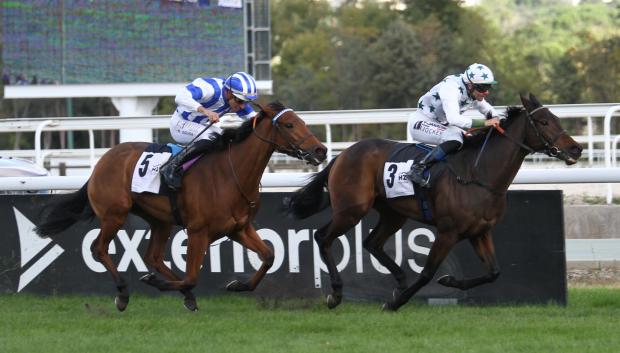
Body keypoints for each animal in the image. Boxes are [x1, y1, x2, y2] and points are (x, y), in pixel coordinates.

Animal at [35, 100, 326, 310]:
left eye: (301, 121)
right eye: (288, 125)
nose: (320, 150)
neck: (231, 174)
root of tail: (101, 163)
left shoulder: (238, 228)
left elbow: (269, 255)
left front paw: (237, 285)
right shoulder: (198, 231)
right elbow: (192, 275)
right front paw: (161, 284)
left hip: (159, 220)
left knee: (152, 256)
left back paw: (179, 291)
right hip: (114, 215)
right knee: (99, 248)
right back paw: (123, 293)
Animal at [288, 94, 584, 310]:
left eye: (556, 118)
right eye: (543, 122)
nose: (576, 148)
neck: (479, 174)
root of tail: (343, 154)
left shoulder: (479, 231)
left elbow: (493, 272)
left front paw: (448, 280)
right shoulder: (448, 231)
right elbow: (427, 273)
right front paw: (395, 302)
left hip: (393, 213)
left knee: (372, 242)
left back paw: (398, 280)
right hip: (351, 209)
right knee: (323, 237)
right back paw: (336, 294)